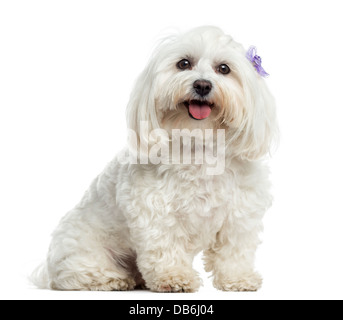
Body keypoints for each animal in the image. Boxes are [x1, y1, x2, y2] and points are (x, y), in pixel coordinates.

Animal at [32, 26, 278, 292]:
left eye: (224, 68)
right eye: (183, 63)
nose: (202, 85)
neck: (198, 145)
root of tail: (46, 270)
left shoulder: (240, 213)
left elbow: (234, 250)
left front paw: (238, 278)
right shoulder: (154, 212)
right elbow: (164, 246)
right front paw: (173, 277)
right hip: (84, 250)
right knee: (80, 273)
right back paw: (115, 280)